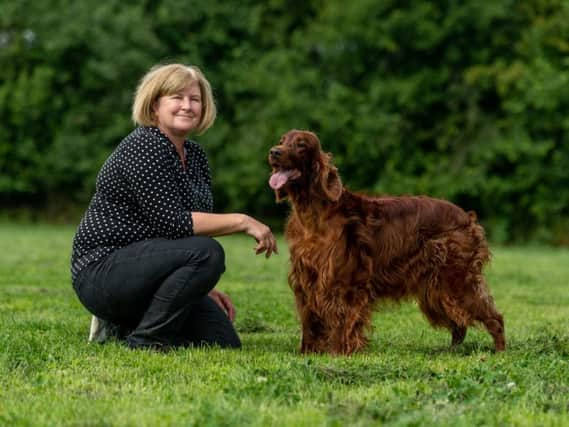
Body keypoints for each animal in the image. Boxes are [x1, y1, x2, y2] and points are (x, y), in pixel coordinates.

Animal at [268, 130, 504, 354]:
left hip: (456, 280)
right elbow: (309, 322)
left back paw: (500, 352)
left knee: (494, 318)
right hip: (437, 289)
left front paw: (338, 353)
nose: (274, 152)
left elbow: (341, 322)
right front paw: (307, 353)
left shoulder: (344, 282)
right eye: (282, 140)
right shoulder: (306, 280)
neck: (314, 214)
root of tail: (467, 217)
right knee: (459, 325)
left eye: (301, 145)